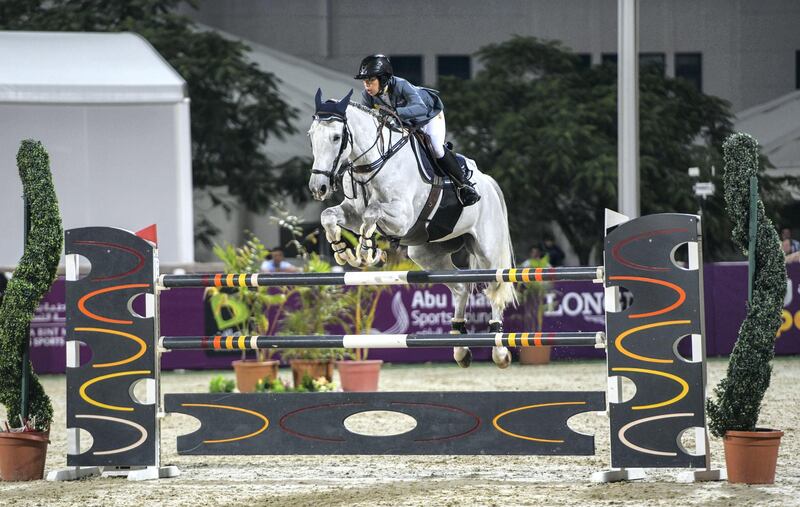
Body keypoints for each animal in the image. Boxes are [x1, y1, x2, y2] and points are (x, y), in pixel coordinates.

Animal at [306, 90, 520, 370]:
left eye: (336, 137)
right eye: (311, 135)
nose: (318, 187)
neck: (373, 162)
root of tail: (488, 182)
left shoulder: (402, 217)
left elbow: (372, 212)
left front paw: (366, 252)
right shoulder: (351, 212)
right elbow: (329, 216)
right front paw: (343, 251)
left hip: (487, 250)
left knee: (494, 288)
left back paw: (499, 350)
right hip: (427, 253)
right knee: (461, 288)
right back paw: (460, 349)